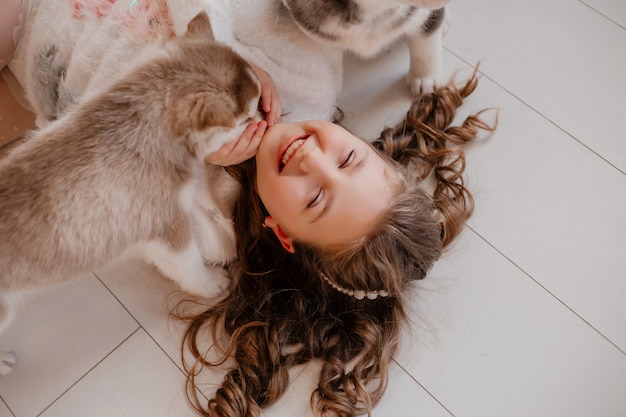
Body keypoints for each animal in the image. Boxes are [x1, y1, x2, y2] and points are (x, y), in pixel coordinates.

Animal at [0, 11, 260, 374]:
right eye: (247, 118)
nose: (266, 118)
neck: (144, 123)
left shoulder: (144, 231)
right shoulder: (171, 231)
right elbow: (191, 266)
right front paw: (212, 283)